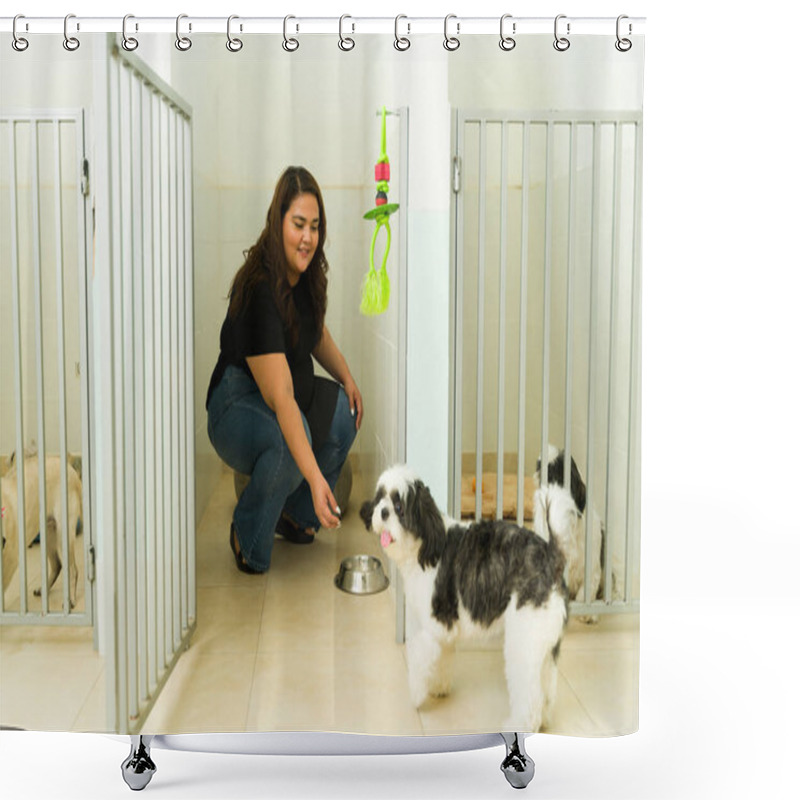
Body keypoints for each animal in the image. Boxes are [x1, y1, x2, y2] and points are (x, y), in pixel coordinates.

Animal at [360, 466, 572, 736]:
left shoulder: (435, 625)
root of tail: (551, 557)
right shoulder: (445, 631)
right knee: (546, 686)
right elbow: (442, 658)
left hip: (524, 639)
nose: (382, 512)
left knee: (529, 697)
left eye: (399, 507)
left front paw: (417, 695)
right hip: (544, 644)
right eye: (381, 498)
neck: (425, 546)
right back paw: (544, 720)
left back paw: (520, 724)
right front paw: (438, 687)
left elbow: (419, 657)